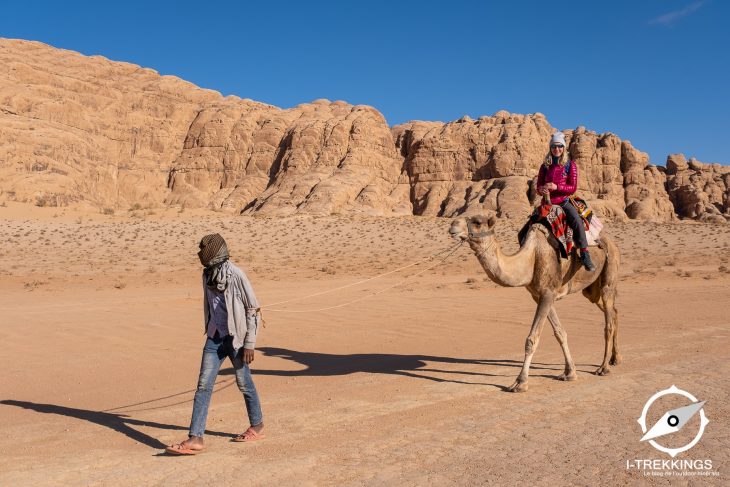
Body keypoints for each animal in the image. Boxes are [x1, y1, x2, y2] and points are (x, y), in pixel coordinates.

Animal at [450, 213, 620, 392]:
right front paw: (570, 373)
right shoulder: (540, 296)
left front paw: (520, 382)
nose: (453, 225)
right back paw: (615, 358)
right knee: (613, 311)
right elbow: (560, 333)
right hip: (590, 291)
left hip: (609, 270)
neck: (531, 258)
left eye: (477, 223)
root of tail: (611, 242)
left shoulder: (547, 293)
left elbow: (532, 339)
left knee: (608, 321)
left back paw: (603, 367)